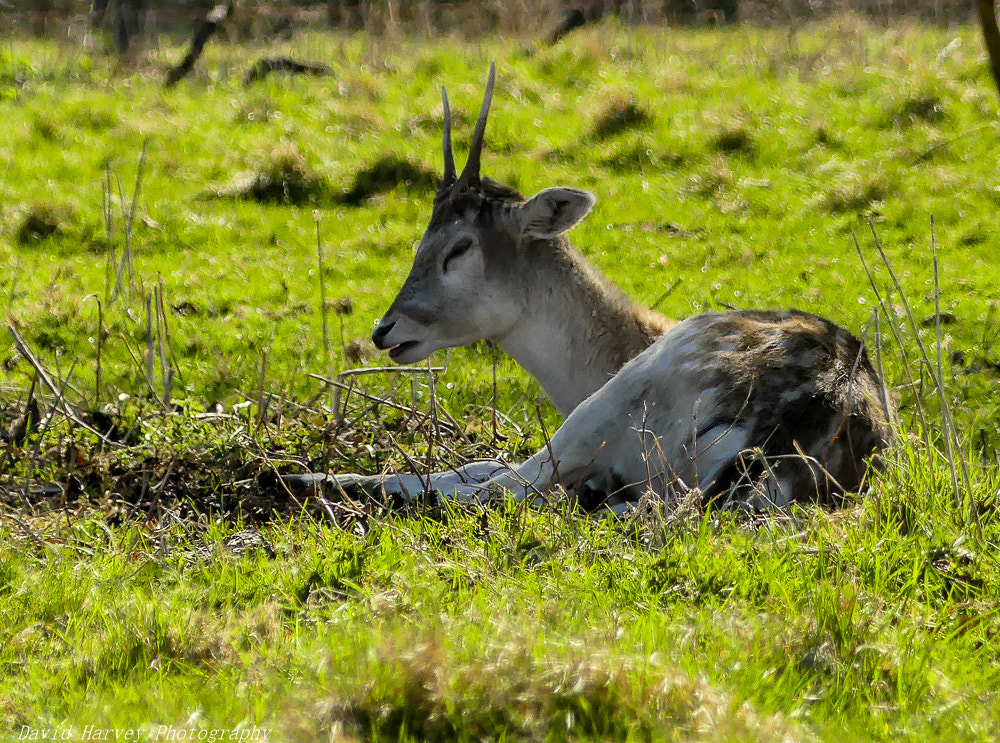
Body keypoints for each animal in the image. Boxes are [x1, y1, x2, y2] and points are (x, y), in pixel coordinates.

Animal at [284, 64, 900, 516]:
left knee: (497, 486)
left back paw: (306, 479)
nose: (386, 329)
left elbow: (482, 471)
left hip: (620, 405)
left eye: (457, 248)